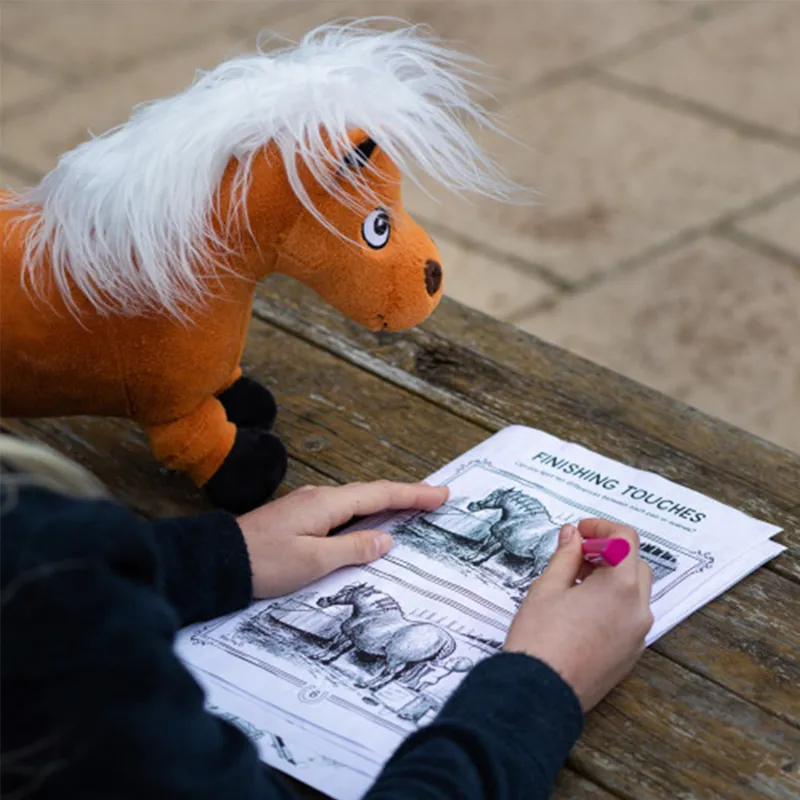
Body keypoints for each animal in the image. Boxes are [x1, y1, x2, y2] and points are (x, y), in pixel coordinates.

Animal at [315, 583, 456, 691]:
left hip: (395, 658)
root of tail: (446, 638)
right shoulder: (351, 639)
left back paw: (365, 685)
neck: (371, 614)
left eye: (345, 591)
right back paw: (373, 687)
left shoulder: (346, 635)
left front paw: (319, 657)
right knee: (393, 676)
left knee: (388, 673)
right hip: (408, 663)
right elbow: (337, 648)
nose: (321, 600)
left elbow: (334, 646)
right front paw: (324, 658)